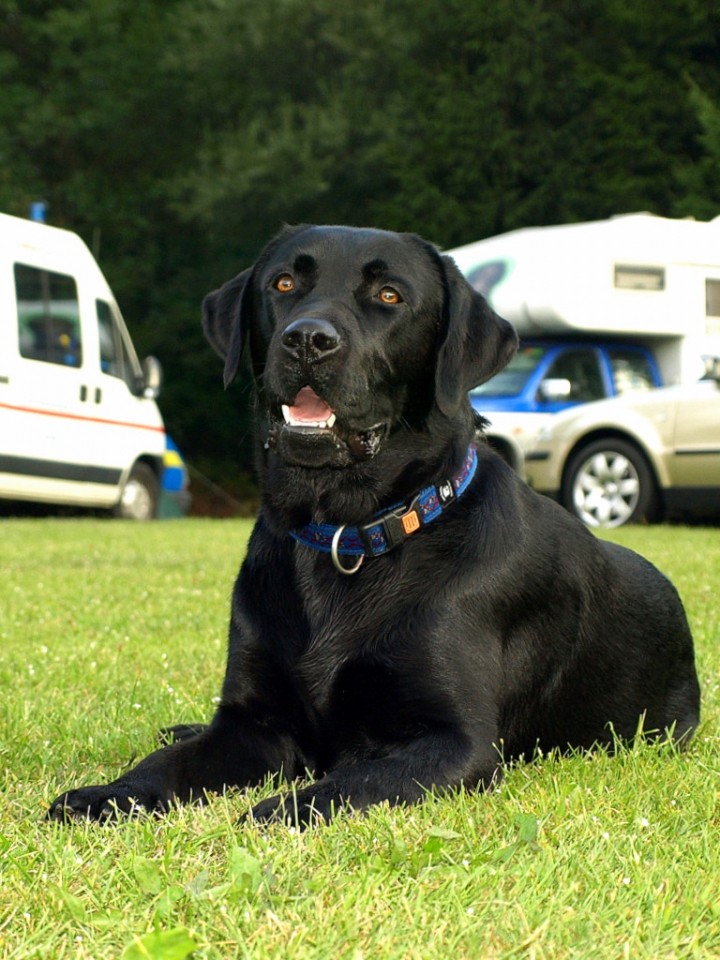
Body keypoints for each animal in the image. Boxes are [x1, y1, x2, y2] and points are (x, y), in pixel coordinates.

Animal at [47, 223, 700, 824]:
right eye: (284, 284)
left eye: (389, 295)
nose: (307, 339)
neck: (347, 532)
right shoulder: (253, 722)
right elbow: (169, 764)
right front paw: (109, 793)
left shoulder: (456, 743)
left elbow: (338, 788)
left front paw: (265, 812)